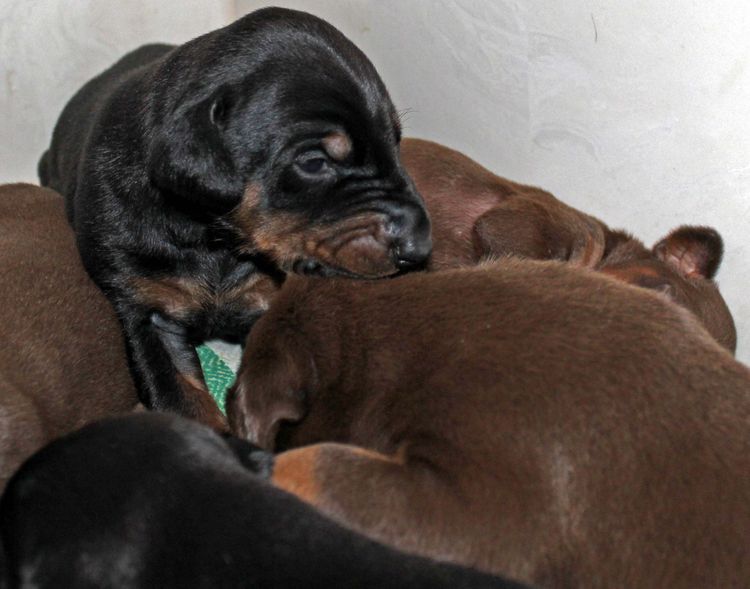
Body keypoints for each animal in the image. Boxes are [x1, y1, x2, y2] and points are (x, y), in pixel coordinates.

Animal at [41, 6, 432, 430]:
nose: (420, 247)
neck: (216, 239)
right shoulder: (146, 311)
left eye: (395, 141)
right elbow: (184, 398)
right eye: (314, 162)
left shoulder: (266, 300)